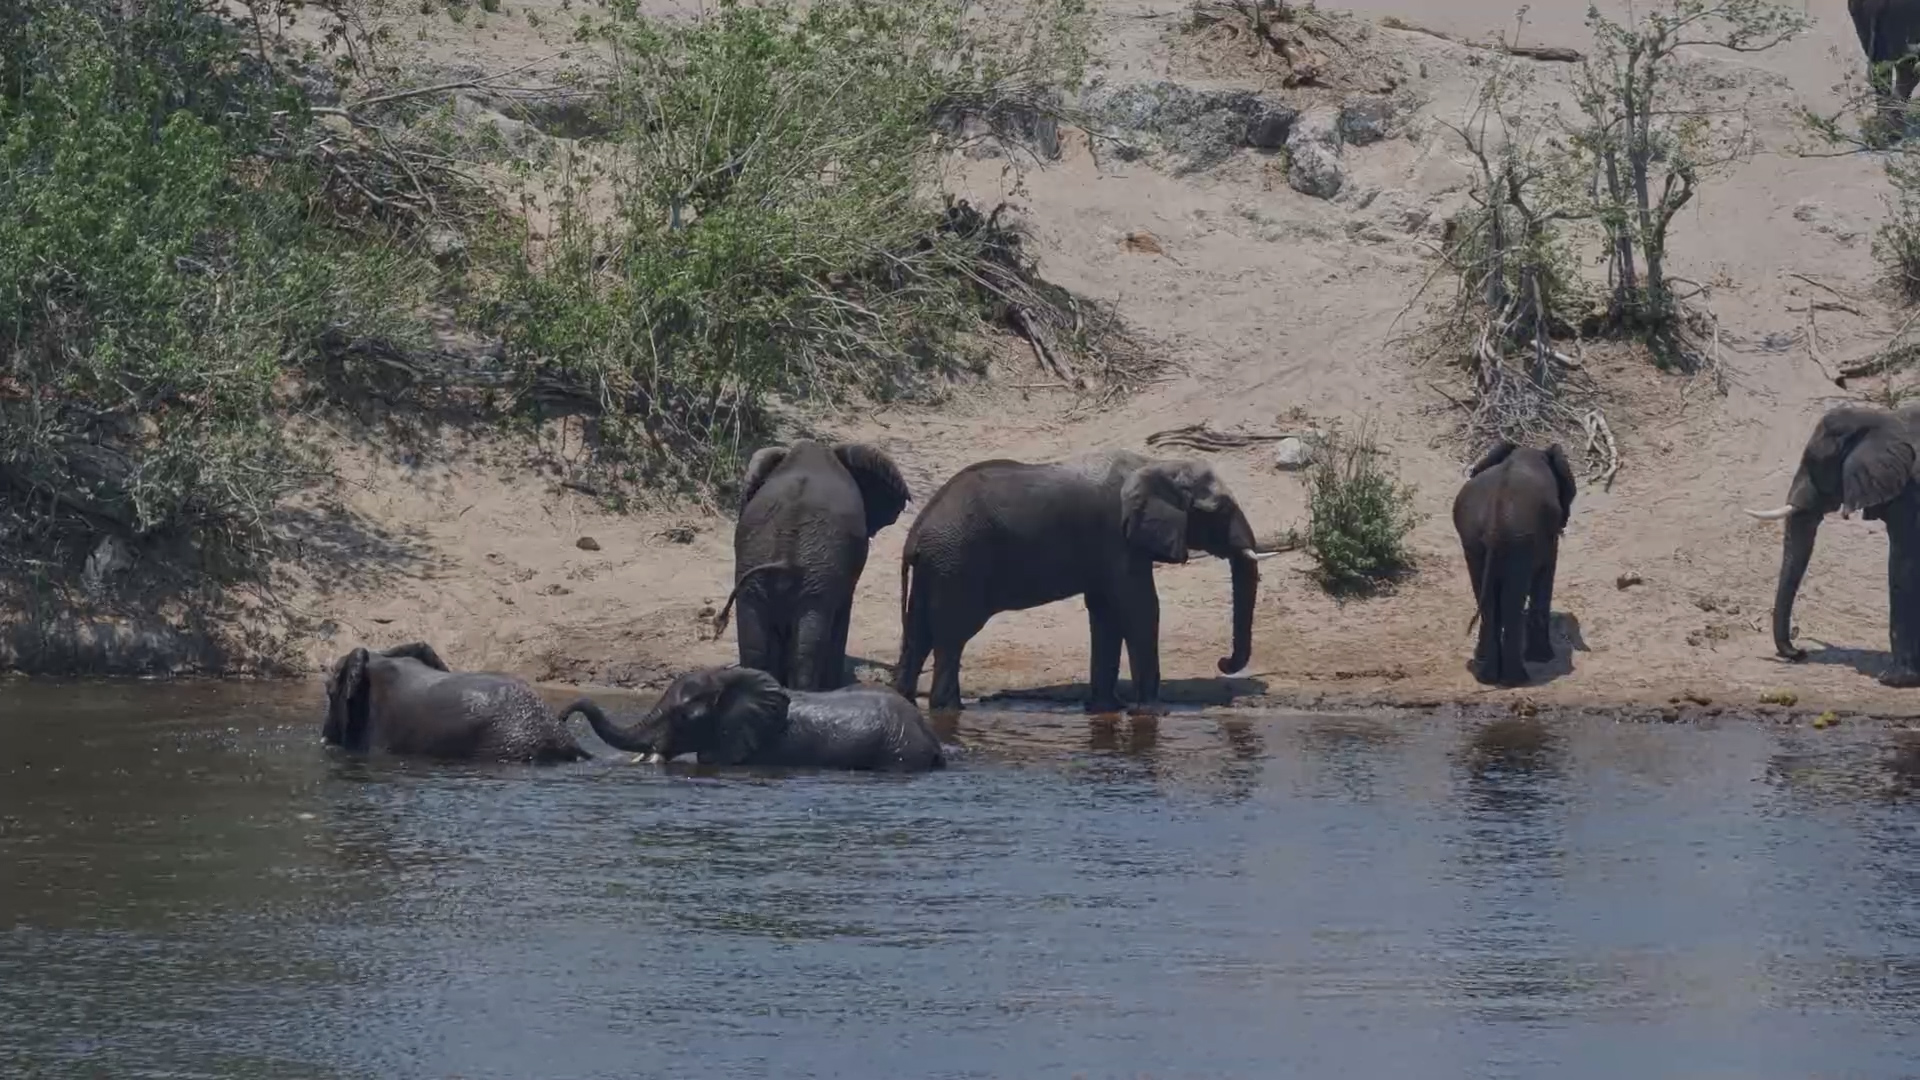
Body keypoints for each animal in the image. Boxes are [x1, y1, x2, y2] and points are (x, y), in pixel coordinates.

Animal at [892, 448, 1280, 714]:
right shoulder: (1117, 538)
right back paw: (948, 709)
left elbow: (1106, 612)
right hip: (958, 564)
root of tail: (917, 530)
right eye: (1222, 511)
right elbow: (1140, 608)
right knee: (952, 636)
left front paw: (1106, 709)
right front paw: (1152, 712)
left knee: (919, 634)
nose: (1223, 663)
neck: (1156, 465)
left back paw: (906, 700)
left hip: (938, 567)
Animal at [1451, 441, 1576, 687]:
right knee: (1512, 598)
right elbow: (1546, 573)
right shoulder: (1548, 536)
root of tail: (1495, 521)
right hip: (1519, 541)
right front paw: (1544, 659)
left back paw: (1487, 676)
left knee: (1488, 599)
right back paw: (1516, 679)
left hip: (1474, 538)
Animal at [1745, 404, 1920, 686]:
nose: (1798, 652)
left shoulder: (1911, 494)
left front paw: (1894, 680)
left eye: (1815, 463)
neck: (1883, 420)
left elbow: (1903, 566)